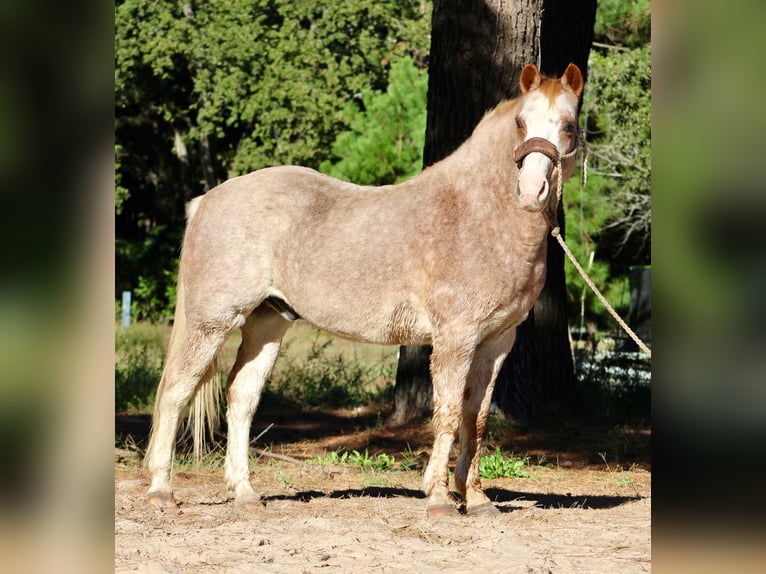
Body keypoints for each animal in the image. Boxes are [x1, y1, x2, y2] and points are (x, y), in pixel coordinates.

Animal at [144, 63, 584, 520]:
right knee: (175, 392)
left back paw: (246, 492)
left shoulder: (496, 343)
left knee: (241, 397)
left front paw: (477, 499)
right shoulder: (455, 338)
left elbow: (474, 419)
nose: (531, 191)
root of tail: (206, 200)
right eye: (520, 124)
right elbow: (447, 414)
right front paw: (440, 498)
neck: (476, 214)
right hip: (210, 322)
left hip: (267, 323)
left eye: (569, 125)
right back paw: (162, 491)